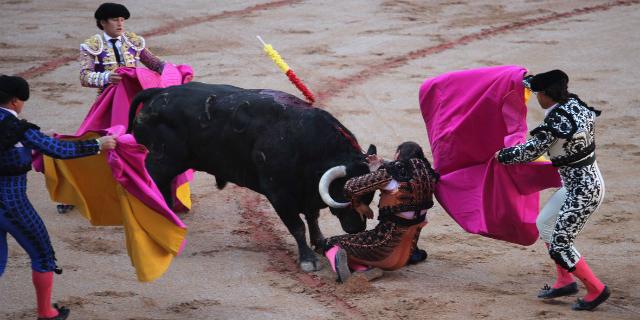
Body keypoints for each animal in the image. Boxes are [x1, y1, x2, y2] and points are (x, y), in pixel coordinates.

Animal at [127, 82, 372, 270]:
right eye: (345, 195)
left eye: (369, 198)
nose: (357, 228)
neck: (308, 143)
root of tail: (158, 92)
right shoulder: (279, 195)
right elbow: (297, 226)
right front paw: (308, 260)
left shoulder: (309, 192)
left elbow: (313, 218)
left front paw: (321, 243)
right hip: (160, 160)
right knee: (150, 184)